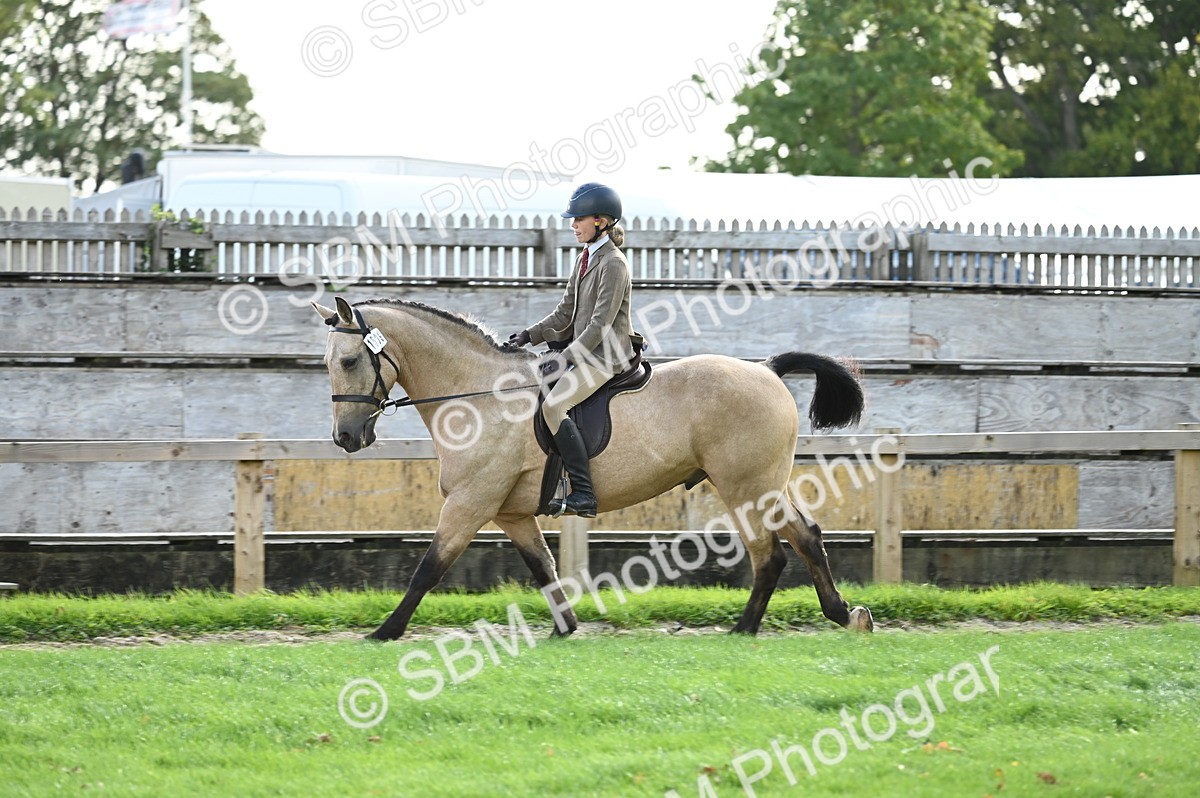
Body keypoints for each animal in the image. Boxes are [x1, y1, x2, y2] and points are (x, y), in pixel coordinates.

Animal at [314, 295, 874, 640]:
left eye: (348, 362)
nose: (347, 438)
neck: (479, 395)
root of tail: (768, 370)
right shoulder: (511, 513)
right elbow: (544, 568)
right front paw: (565, 629)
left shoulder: (471, 502)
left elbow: (429, 568)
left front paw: (384, 632)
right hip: (767, 486)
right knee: (806, 535)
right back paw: (845, 614)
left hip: (744, 489)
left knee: (769, 554)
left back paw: (745, 629)